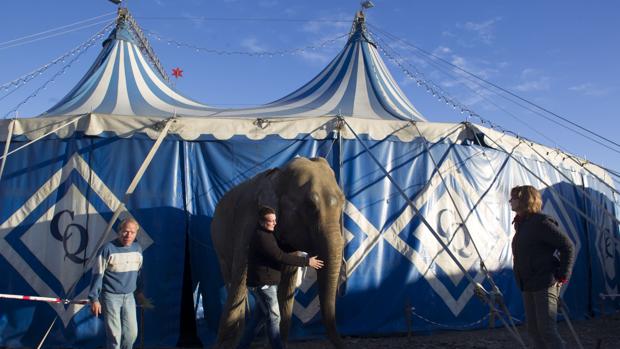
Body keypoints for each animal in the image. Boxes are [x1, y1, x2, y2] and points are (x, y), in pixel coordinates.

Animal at [211, 156, 346, 346]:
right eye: (310, 206)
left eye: (343, 203)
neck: (279, 176)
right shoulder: (247, 222)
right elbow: (239, 281)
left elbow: (287, 283)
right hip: (218, 243)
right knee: (231, 280)